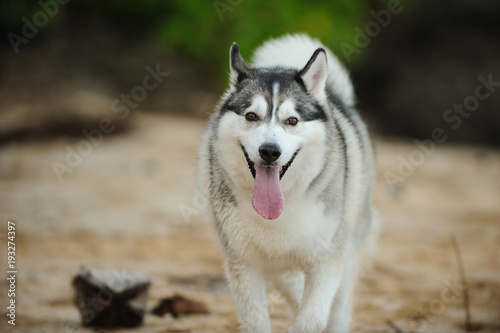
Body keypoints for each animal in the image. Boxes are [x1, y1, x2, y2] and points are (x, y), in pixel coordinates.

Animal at [196, 34, 376, 332]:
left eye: (292, 120)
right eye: (251, 116)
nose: (270, 151)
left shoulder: (328, 259)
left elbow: (313, 318)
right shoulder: (244, 264)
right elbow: (257, 320)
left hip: (350, 242)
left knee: (338, 307)